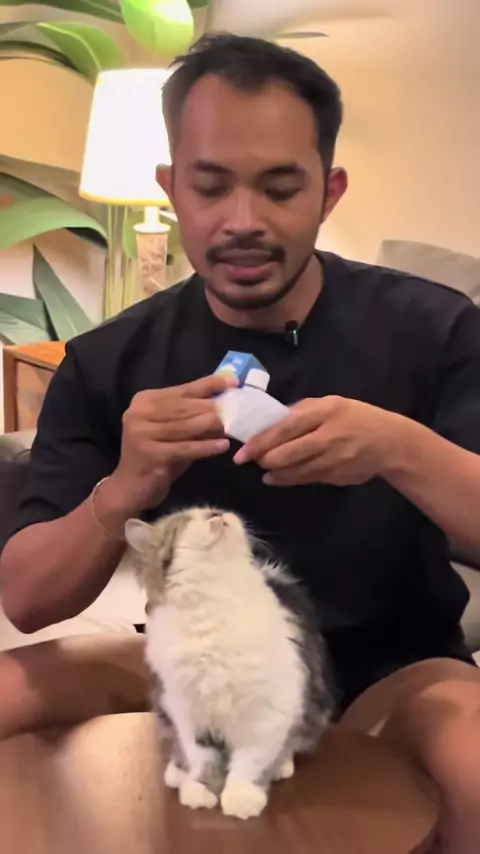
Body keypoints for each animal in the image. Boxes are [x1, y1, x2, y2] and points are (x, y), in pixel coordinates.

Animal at [125, 506, 335, 820]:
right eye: (189, 519)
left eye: (211, 509)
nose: (217, 513)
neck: (217, 597)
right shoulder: (189, 712)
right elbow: (202, 758)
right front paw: (200, 790)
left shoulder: (266, 712)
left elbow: (249, 762)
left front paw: (241, 798)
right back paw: (177, 772)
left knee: (293, 744)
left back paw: (282, 766)